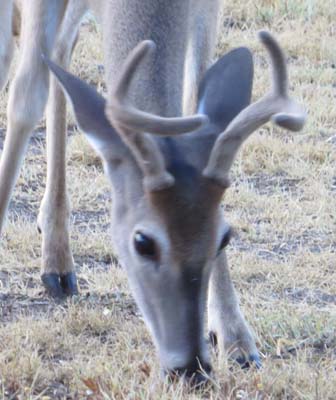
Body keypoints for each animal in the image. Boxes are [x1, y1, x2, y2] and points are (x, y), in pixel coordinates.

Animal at [0, 0, 304, 382]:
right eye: (142, 242)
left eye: (225, 238)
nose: (190, 367)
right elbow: (26, 96)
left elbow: (196, 95)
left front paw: (235, 338)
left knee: (63, 50)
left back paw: (57, 260)